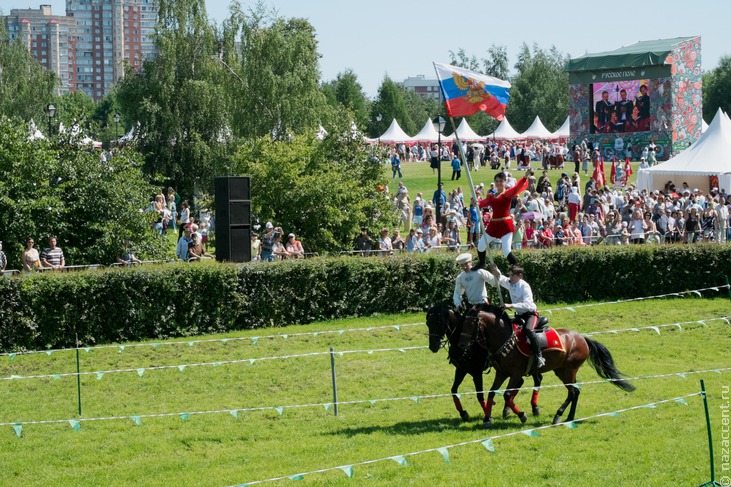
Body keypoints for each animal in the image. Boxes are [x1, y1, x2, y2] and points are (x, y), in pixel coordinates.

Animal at [474, 308, 636, 428]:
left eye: (471, 324)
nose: (468, 344)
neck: (506, 339)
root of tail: (582, 338)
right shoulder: (501, 373)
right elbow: (492, 392)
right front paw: (487, 419)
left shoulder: (516, 373)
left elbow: (507, 395)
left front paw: (522, 415)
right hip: (565, 371)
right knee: (575, 391)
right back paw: (569, 417)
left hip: (567, 371)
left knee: (572, 392)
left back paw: (558, 416)